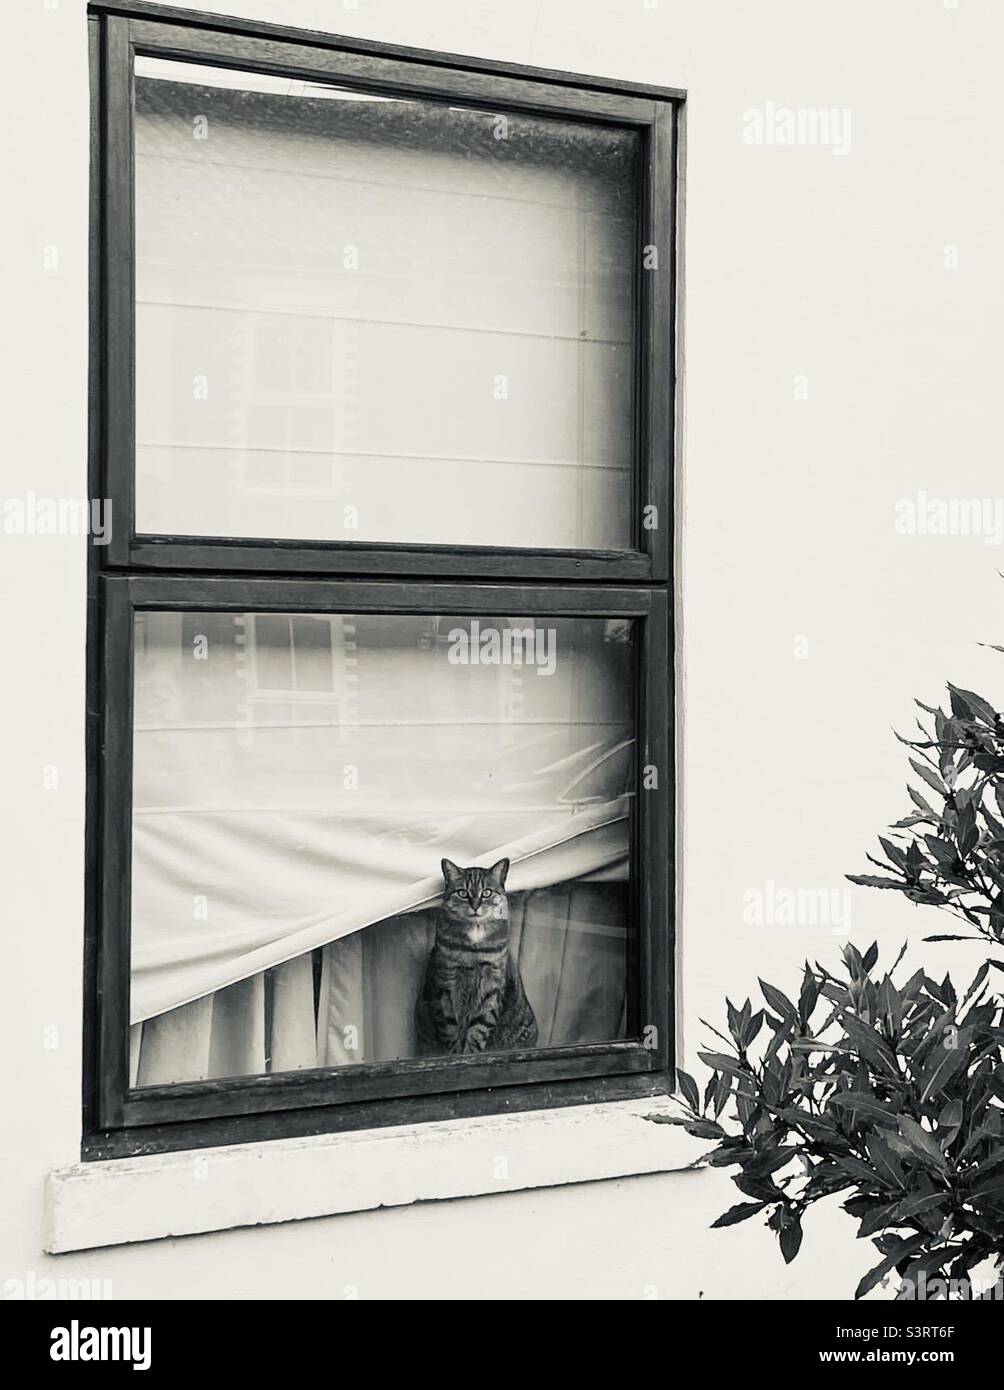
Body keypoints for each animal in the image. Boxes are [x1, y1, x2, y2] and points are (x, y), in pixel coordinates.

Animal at [414, 856, 539, 1050]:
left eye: (486, 893)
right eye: (462, 893)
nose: (475, 905)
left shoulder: (491, 985)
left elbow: (479, 1028)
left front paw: (469, 1052)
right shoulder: (446, 983)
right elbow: (450, 1028)